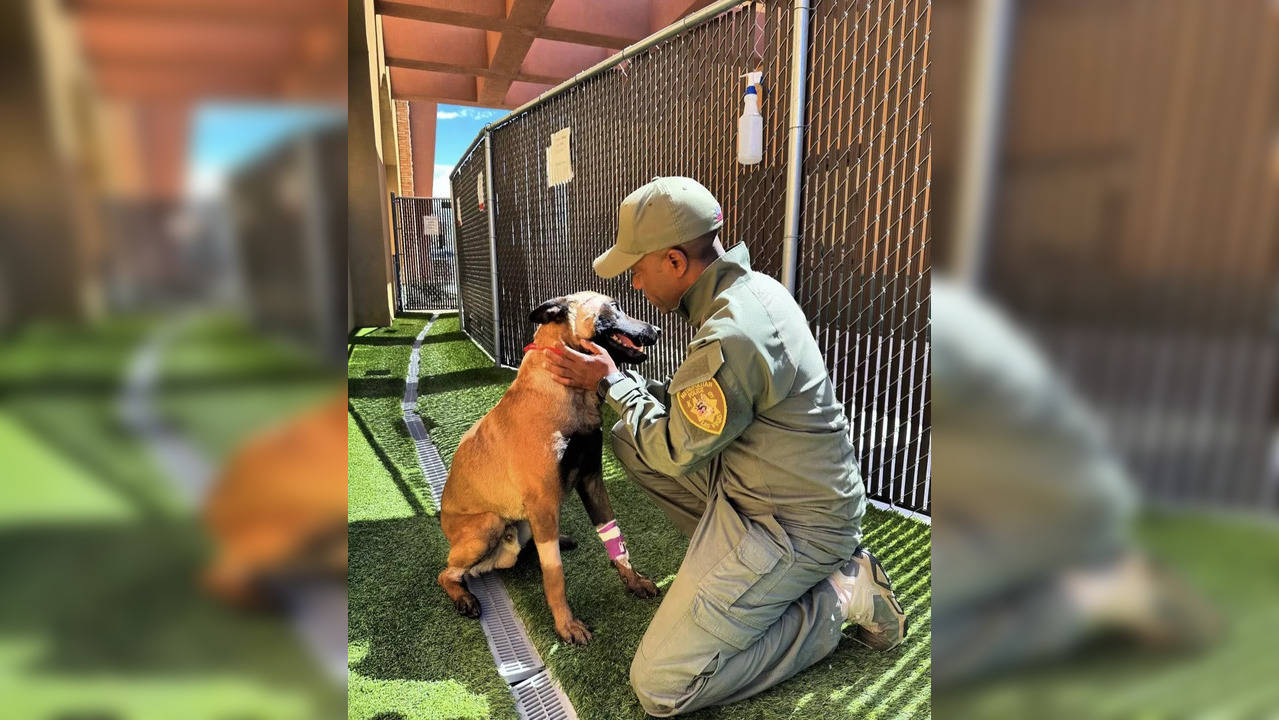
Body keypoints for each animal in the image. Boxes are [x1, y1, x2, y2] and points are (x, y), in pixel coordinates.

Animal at [437, 290, 659, 644]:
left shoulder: (592, 480)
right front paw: (565, 624)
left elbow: (616, 540)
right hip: (489, 524)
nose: (657, 330)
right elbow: (554, 575)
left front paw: (633, 580)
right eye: (615, 306)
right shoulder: (542, 502)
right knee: (447, 573)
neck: (566, 392)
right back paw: (464, 597)